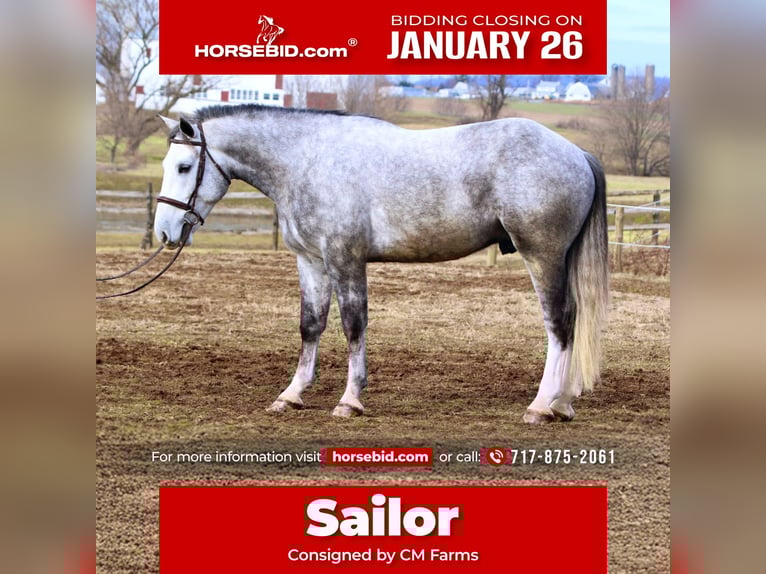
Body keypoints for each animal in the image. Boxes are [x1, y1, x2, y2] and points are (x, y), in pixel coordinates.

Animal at [155, 104, 609, 423]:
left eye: (183, 167)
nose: (164, 231)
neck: (309, 160)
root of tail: (576, 153)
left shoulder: (345, 260)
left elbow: (353, 325)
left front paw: (350, 400)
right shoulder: (311, 262)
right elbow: (310, 326)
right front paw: (291, 394)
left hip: (542, 256)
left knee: (559, 322)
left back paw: (542, 405)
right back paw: (563, 403)